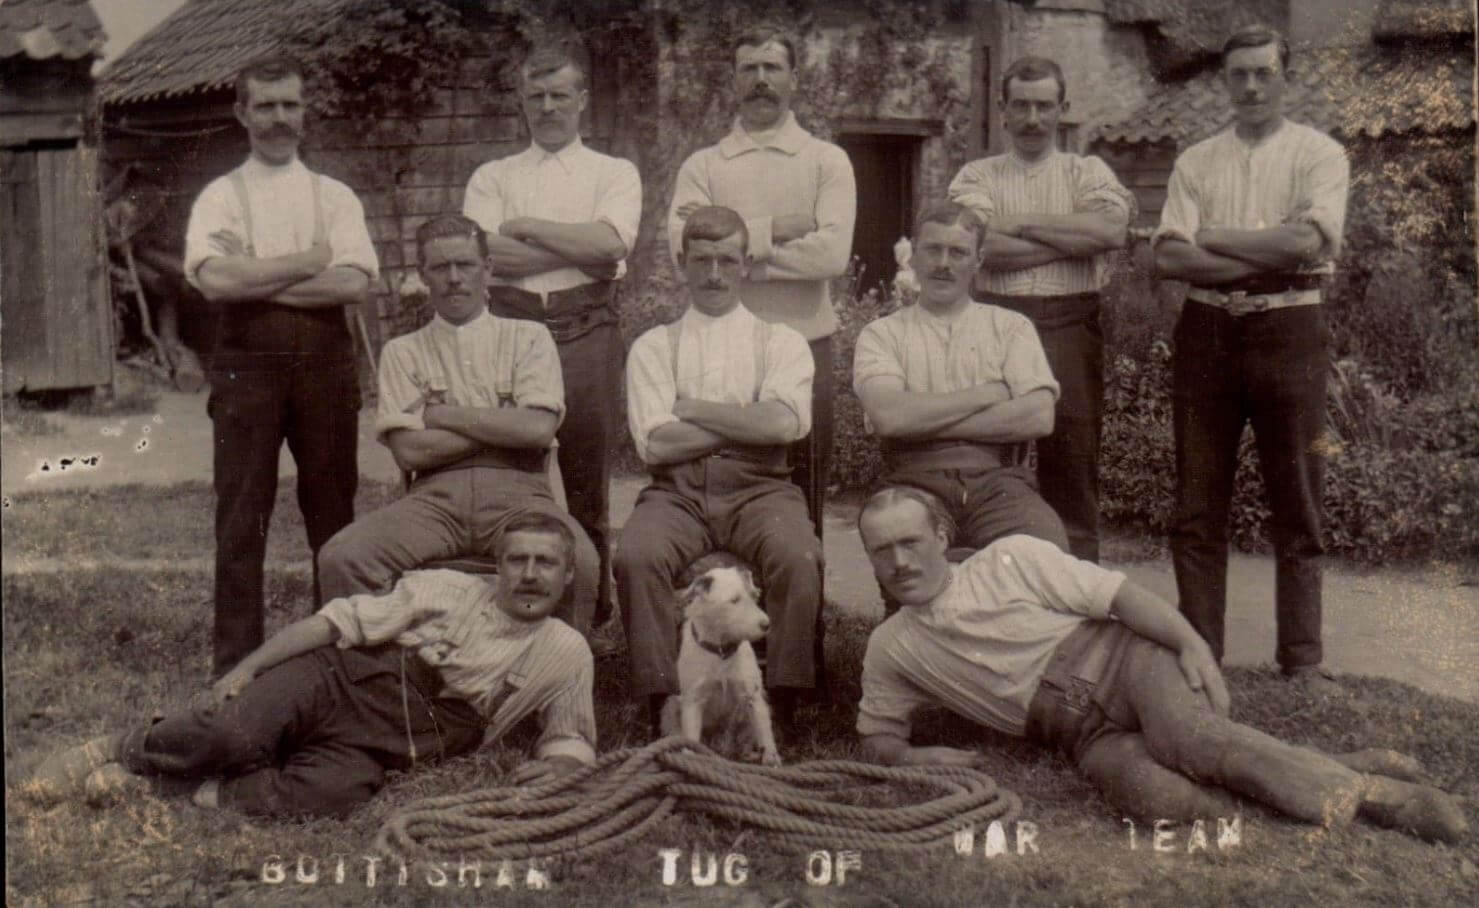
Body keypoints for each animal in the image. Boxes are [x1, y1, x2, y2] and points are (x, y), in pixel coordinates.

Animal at [662, 558, 780, 763]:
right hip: (671, 708)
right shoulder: (693, 703)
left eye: (753, 597)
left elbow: (765, 733)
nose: (767, 624)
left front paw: (772, 759)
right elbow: (690, 739)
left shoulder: (754, 697)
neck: (721, 651)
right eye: (734, 600)